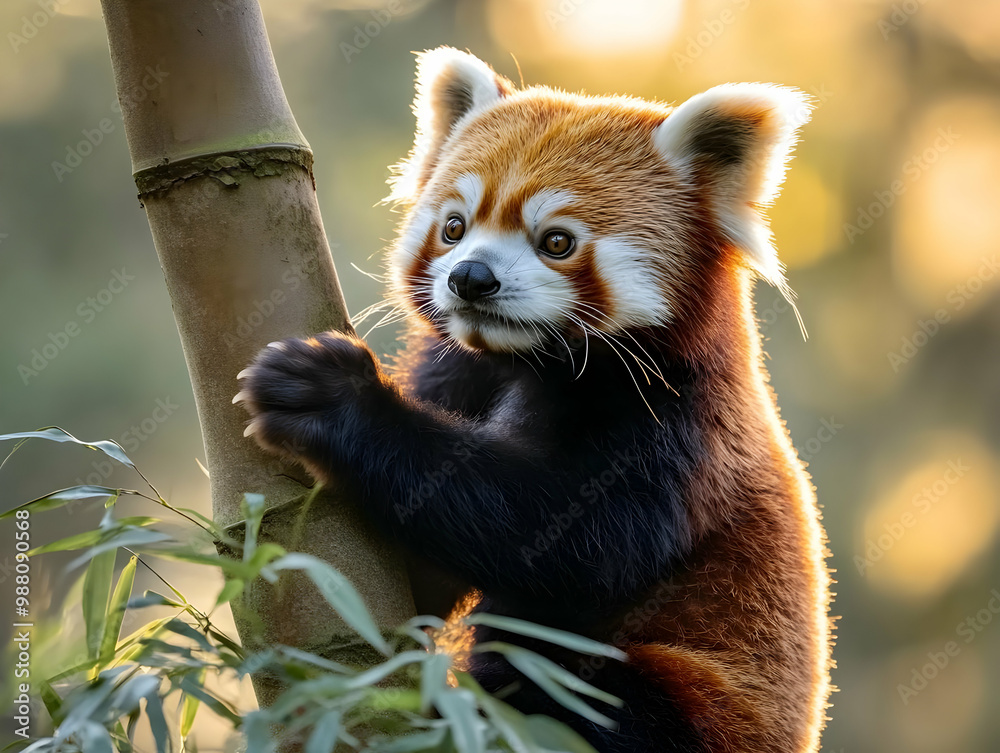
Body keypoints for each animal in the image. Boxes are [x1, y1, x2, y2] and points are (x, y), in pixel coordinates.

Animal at [235, 47, 832, 753]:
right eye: (454, 227)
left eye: (556, 241)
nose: (471, 278)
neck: (528, 364)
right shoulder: (457, 374)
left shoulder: (678, 426)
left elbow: (565, 537)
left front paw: (335, 399)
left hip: (697, 707)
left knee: (563, 689)